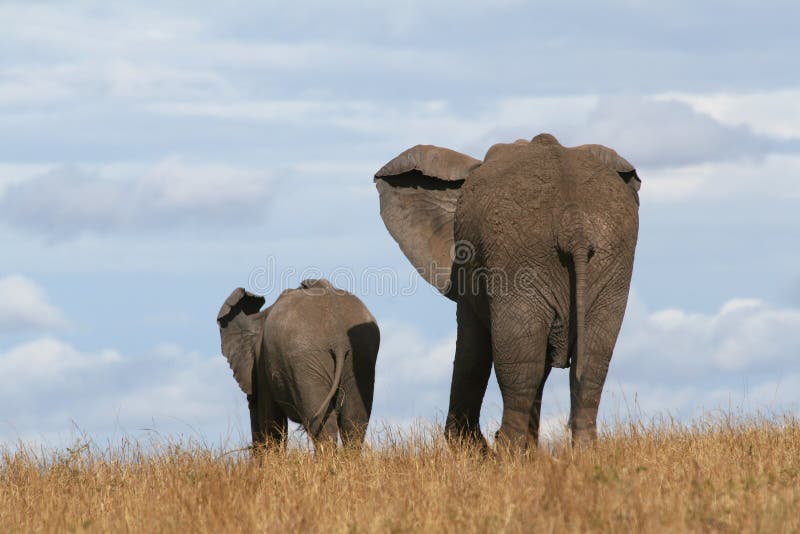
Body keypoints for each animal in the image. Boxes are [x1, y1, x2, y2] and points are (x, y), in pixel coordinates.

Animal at [217, 280, 380, 452]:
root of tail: (339, 340)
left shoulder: (263, 363)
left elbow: (272, 421)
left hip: (305, 360)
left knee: (322, 424)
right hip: (361, 352)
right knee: (354, 423)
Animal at [376, 133, 644, 448]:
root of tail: (573, 222)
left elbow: (472, 349)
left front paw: (469, 448)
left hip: (520, 259)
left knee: (521, 362)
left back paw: (506, 450)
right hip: (608, 256)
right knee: (592, 358)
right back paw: (582, 450)